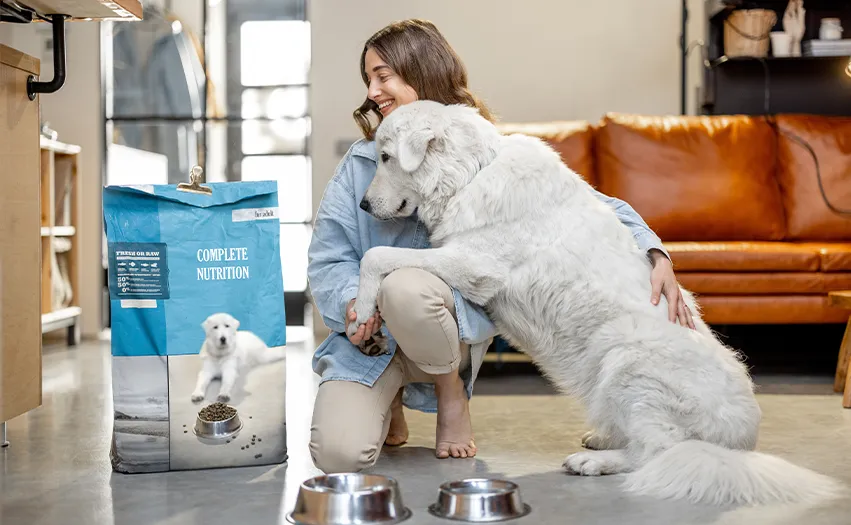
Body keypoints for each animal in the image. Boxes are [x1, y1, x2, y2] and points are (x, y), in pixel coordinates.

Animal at [350, 100, 844, 506]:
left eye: (387, 157)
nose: (364, 204)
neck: (472, 175)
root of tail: (740, 444)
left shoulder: (472, 264)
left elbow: (378, 257)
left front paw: (362, 312)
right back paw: (604, 440)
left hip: (626, 356)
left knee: (656, 451)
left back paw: (595, 462)